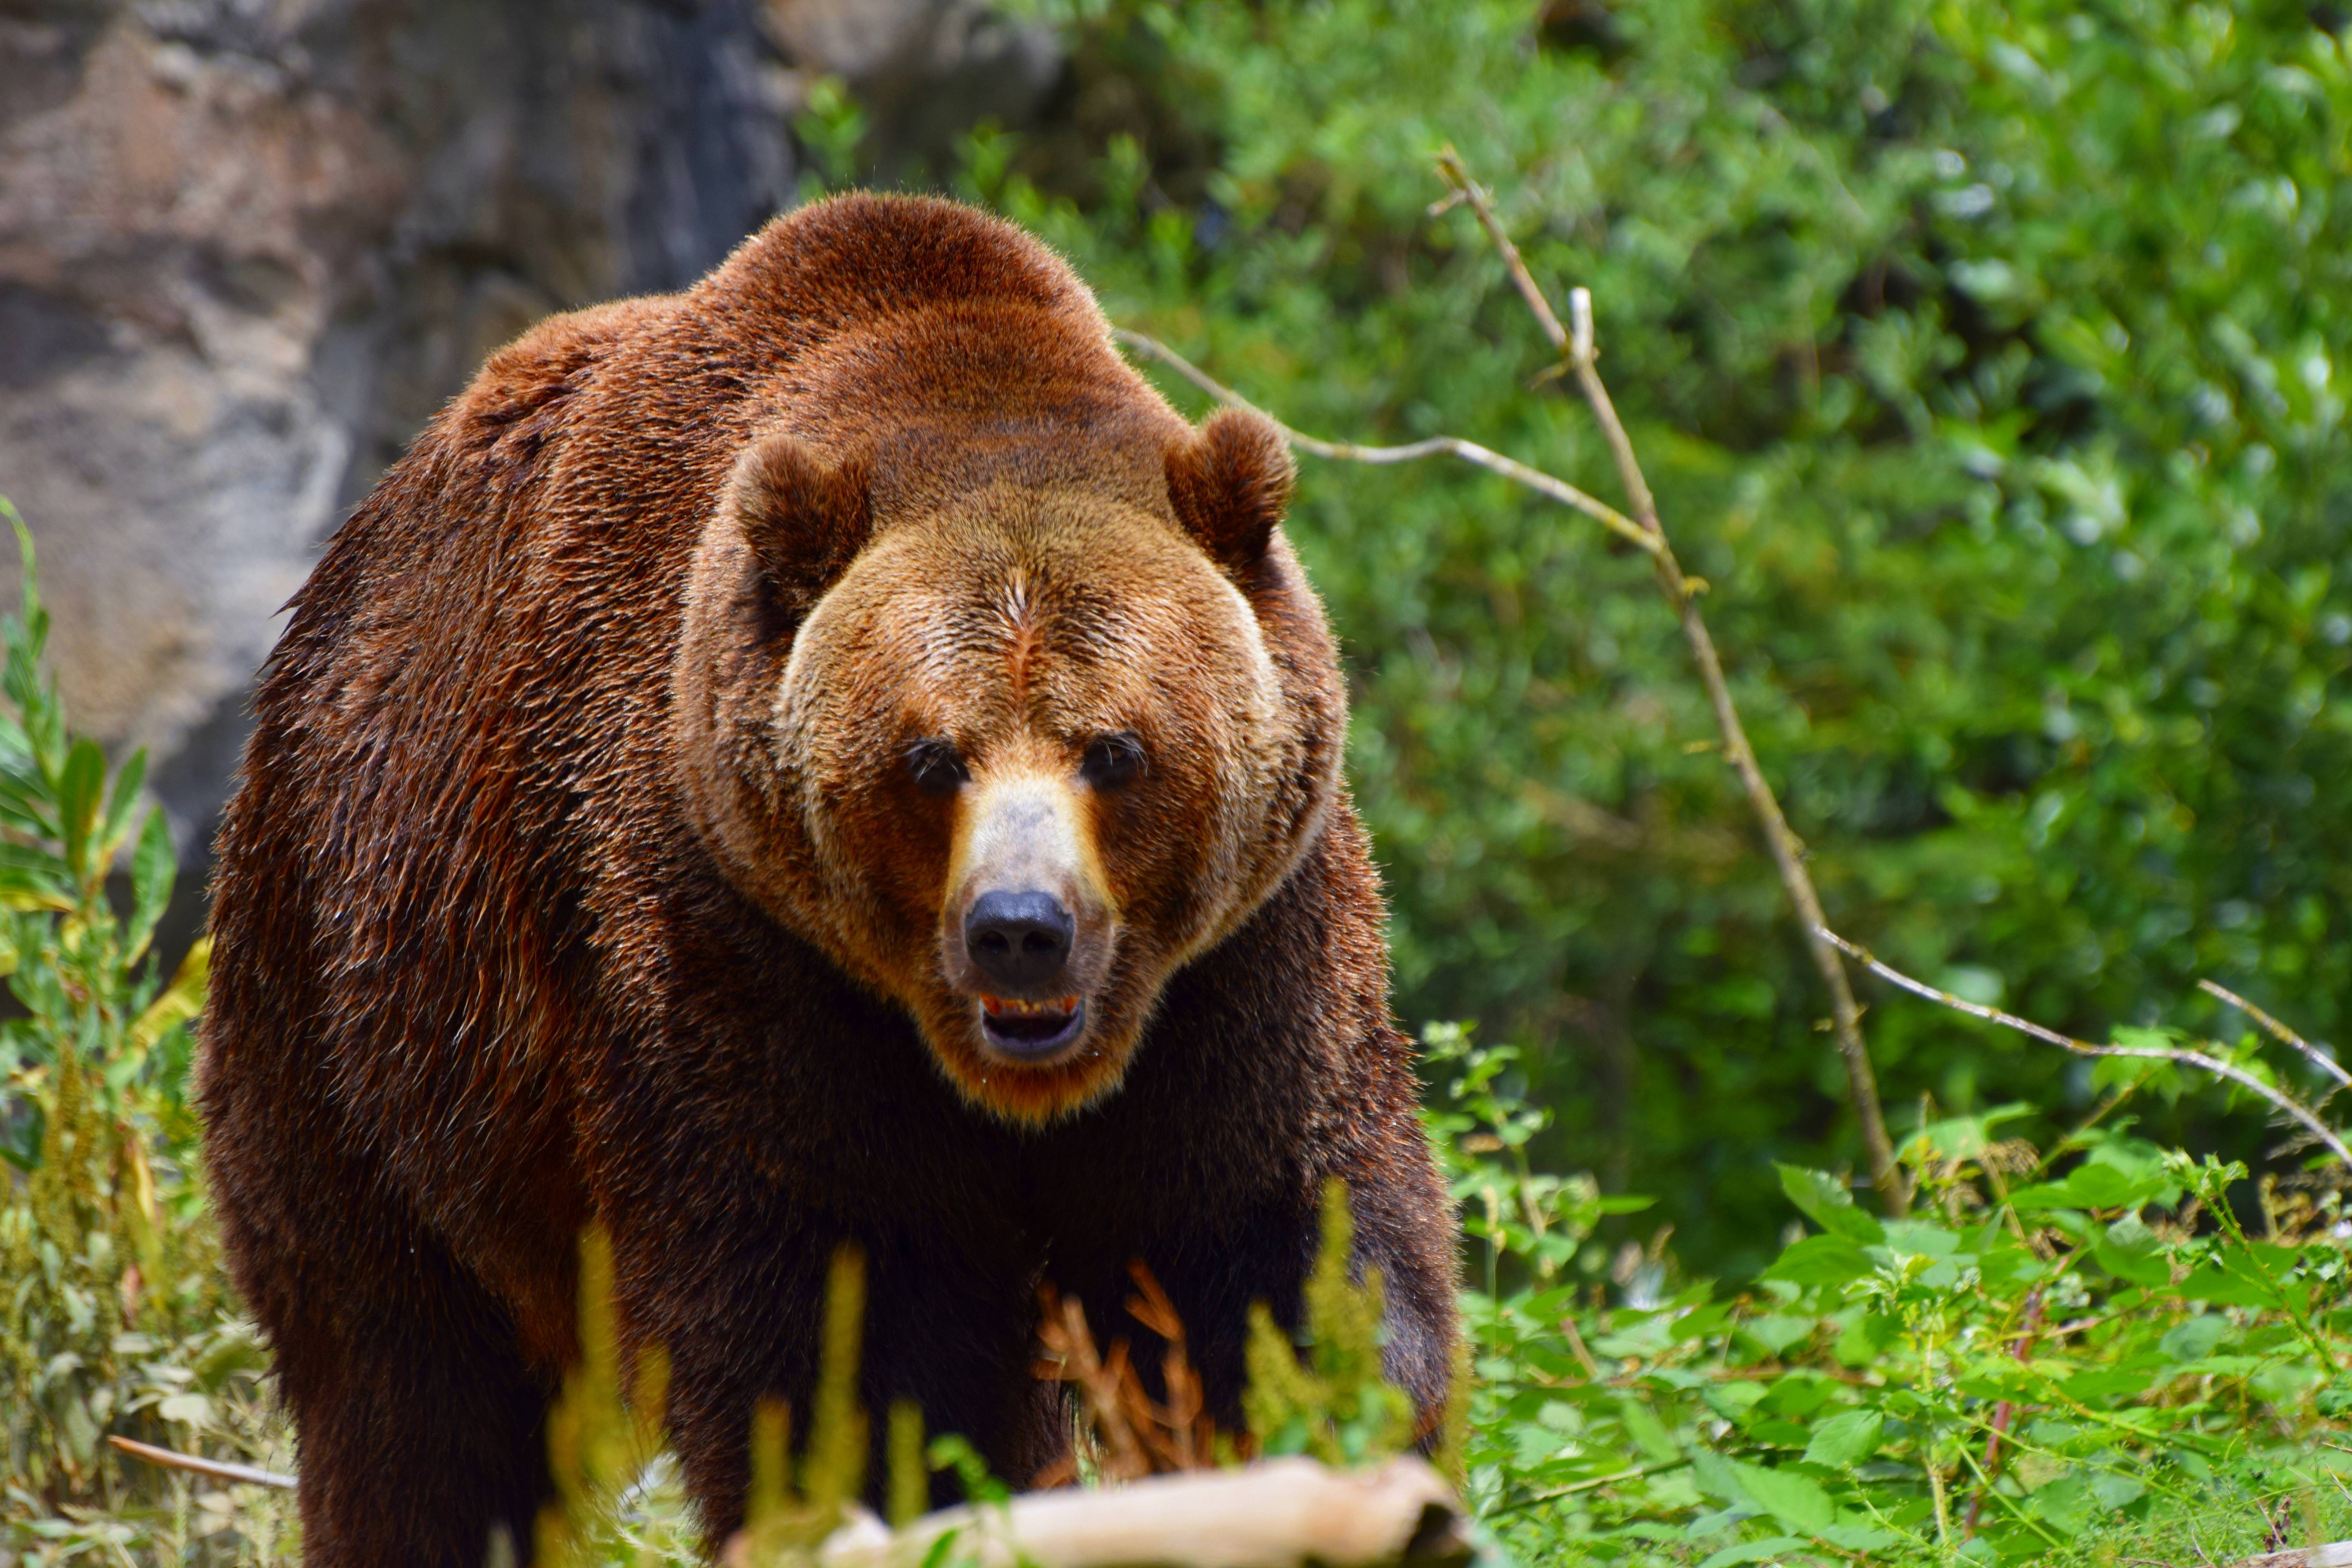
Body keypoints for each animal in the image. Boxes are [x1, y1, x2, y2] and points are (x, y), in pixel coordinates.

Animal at [198, 196, 1449, 1568]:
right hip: (369, 1003)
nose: (1022, 930)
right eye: (931, 757)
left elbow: (1270, 1255)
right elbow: (849, 1325)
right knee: (410, 1387)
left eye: (1114, 748)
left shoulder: (1241, 965)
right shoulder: (733, 944)